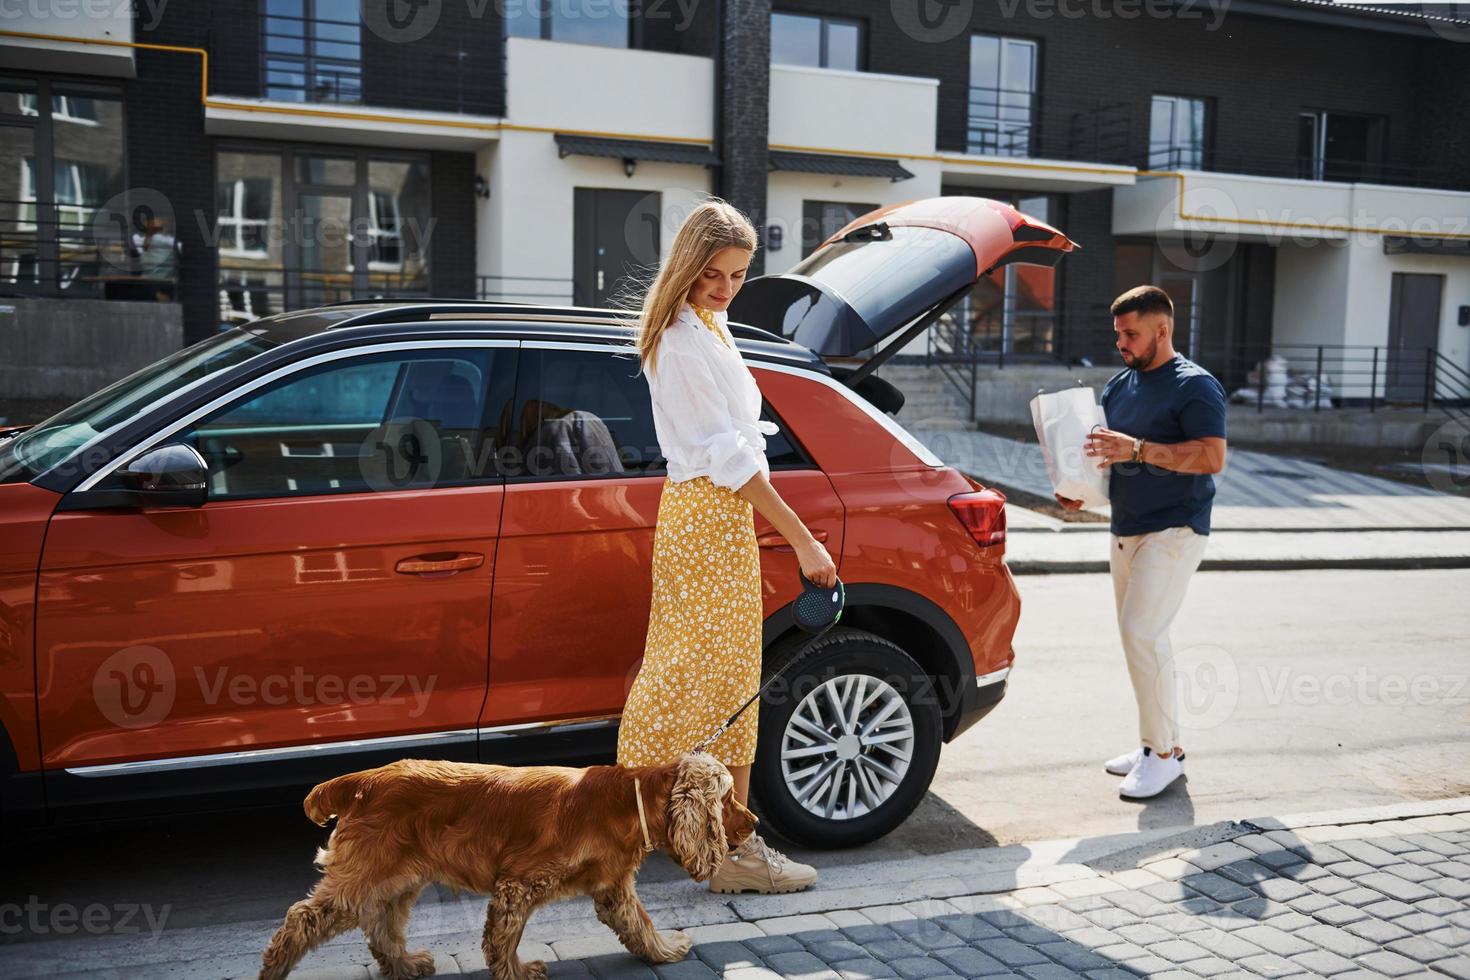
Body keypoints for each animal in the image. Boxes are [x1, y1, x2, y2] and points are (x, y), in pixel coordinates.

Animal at [255, 758, 758, 975]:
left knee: (381, 925)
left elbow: (641, 924)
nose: (754, 823)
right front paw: (515, 972)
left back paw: (405, 964)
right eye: (730, 797)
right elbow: (503, 940)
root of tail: (362, 780)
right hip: (366, 876)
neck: (629, 800)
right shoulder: (519, 883)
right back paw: (274, 971)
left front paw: (665, 952)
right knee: (300, 920)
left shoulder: (613, 888)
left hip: (399, 877)